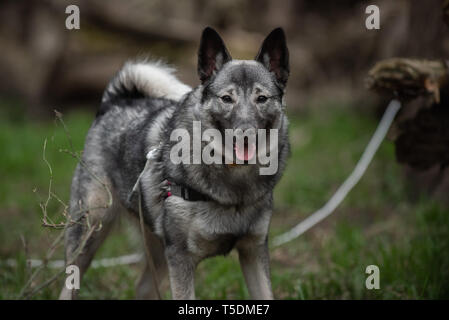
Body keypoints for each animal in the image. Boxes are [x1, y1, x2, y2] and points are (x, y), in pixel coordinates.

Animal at [58, 25, 290, 300]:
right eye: (226, 99)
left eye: (262, 98)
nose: (246, 133)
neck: (234, 181)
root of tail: (115, 101)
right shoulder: (180, 258)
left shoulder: (254, 251)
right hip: (90, 231)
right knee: (70, 283)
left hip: (156, 249)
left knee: (142, 287)